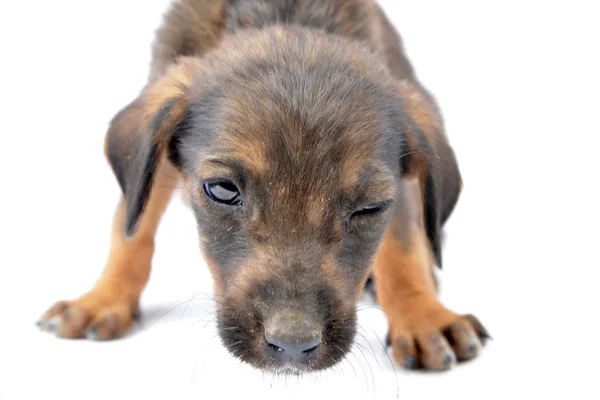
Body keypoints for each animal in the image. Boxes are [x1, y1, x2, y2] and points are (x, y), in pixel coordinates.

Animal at [36, 0, 488, 374]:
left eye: (369, 209)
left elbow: (403, 249)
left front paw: (423, 316)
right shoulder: (156, 159)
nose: (293, 346)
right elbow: (131, 230)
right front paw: (102, 299)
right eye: (221, 190)